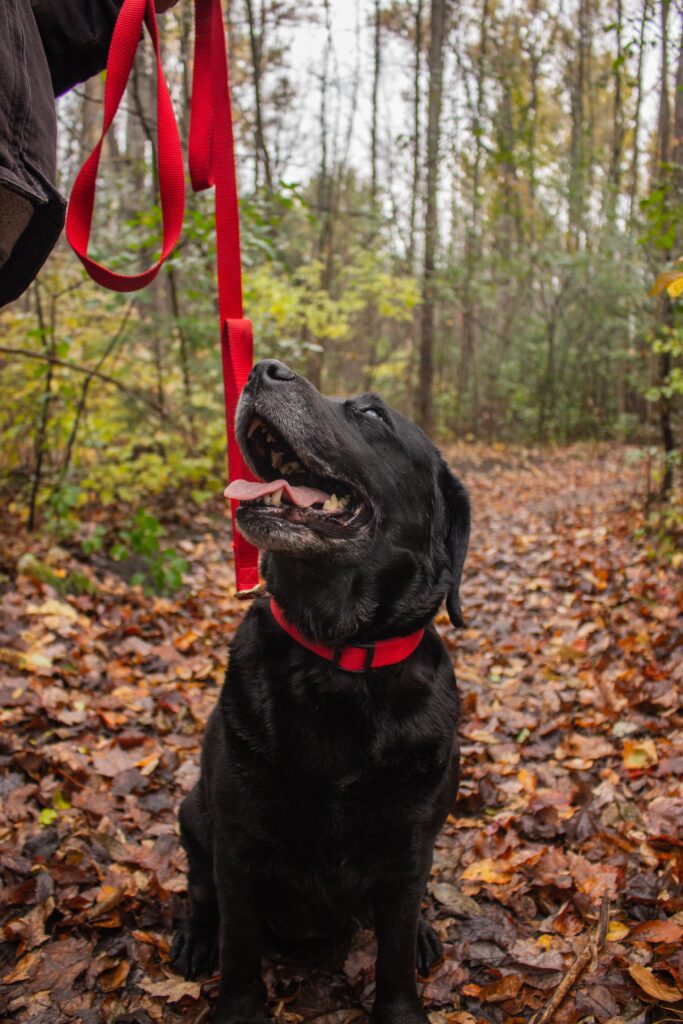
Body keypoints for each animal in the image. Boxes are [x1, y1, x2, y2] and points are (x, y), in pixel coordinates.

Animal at [171, 360, 471, 1024]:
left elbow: (392, 952)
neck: (338, 655)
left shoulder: (410, 850)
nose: (264, 369)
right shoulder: (236, 850)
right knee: (201, 897)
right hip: (192, 815)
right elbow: (239, 947)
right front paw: (237, 1007)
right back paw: (194, 937)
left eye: (372, 413)